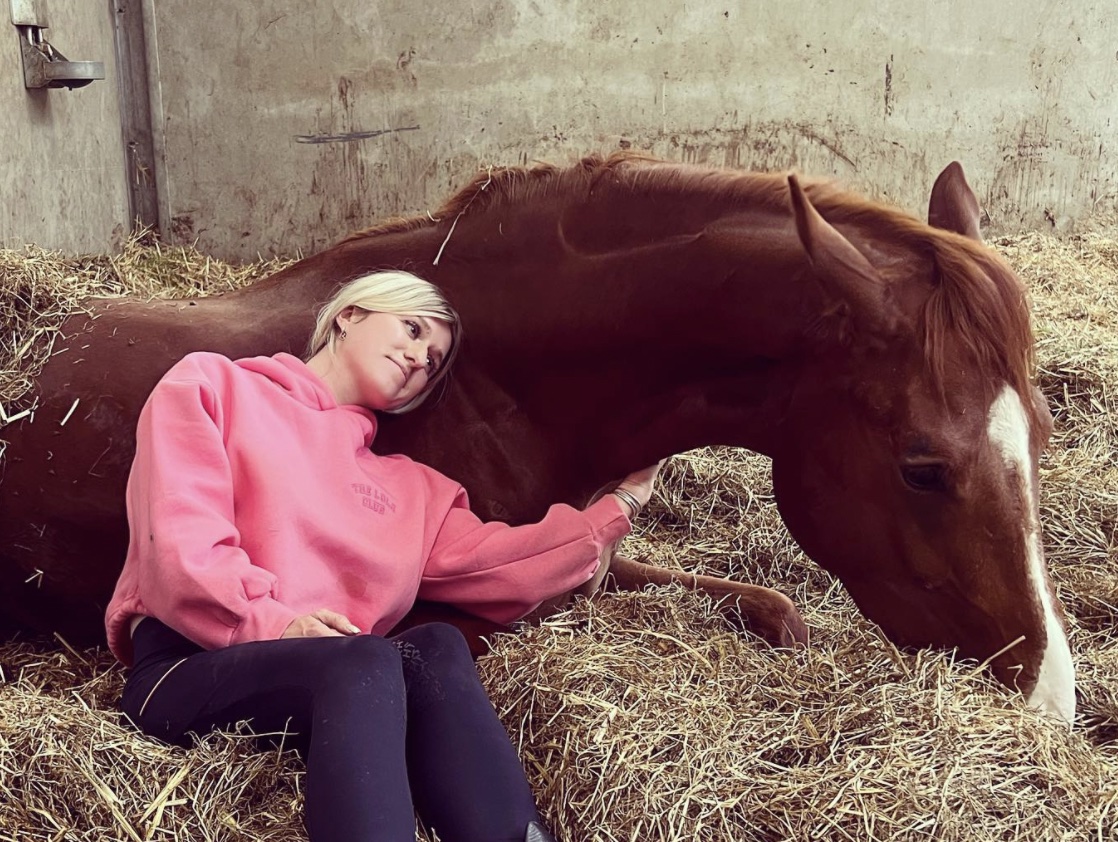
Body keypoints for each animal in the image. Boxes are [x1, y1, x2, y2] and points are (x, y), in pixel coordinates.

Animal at [0, 153, 1075, 724]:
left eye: (1045, 434)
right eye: (923, 467)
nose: (1049, 699)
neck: (505, 380)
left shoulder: (569, 548)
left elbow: (775, 607)